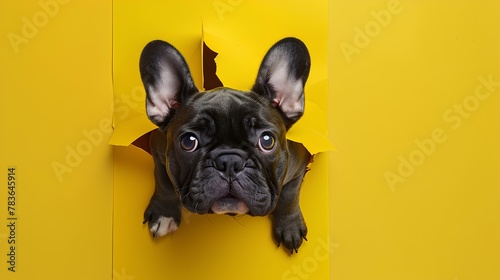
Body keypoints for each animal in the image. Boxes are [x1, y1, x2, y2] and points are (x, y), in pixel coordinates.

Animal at [141, 37, 312, 254]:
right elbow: (164, 182)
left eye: (267, 141)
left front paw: (290, 226)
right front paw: (164, 213)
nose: (229, 162)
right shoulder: (158, 150)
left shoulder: (297, 165)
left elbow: (289, 195)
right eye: (189, 142)